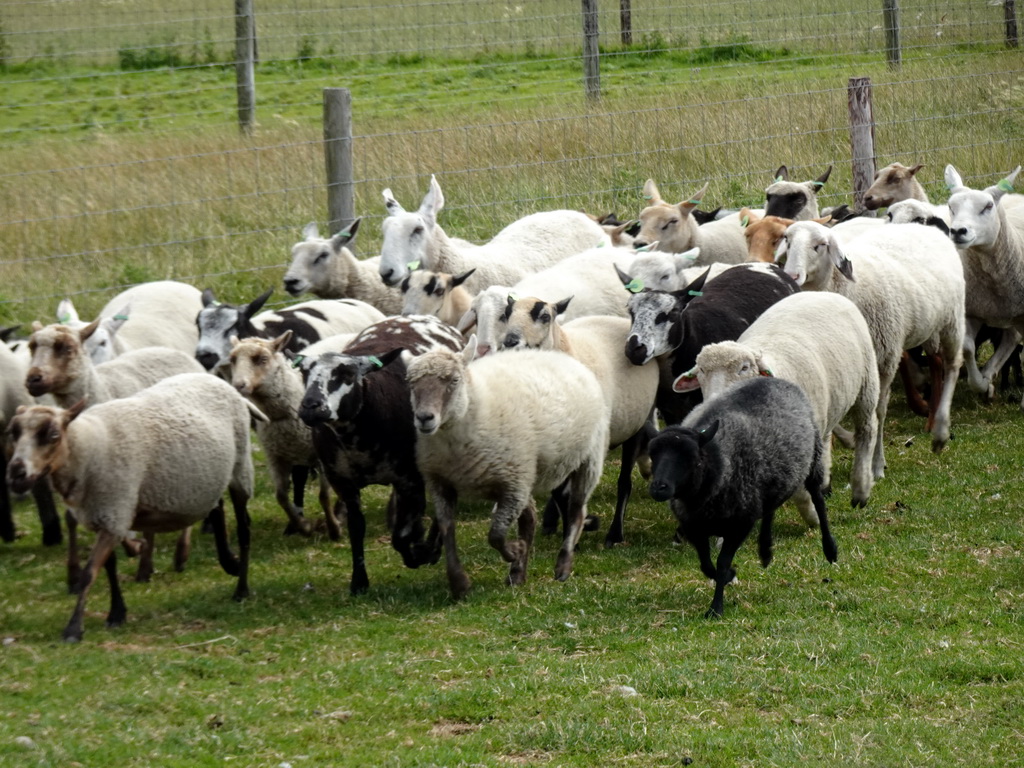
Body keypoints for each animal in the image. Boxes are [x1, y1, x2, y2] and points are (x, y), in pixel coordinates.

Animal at [6, 372, 262, 643]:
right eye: (13, 433)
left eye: (53, 434)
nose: (16, 474)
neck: (85, 448)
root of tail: (217, 380)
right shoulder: (104, 515)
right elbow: (108, 566)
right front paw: (117, 613)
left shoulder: (114, 512)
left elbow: (89, 573)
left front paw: (74, 628)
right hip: (205, 480)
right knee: (217, 506)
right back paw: (229, 562)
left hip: (240, 469)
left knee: (244, 529)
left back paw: (241, 588)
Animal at [228, 333, 339, 544]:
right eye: (232, 360)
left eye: (262, 359)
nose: (238, 386)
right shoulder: (276, 457)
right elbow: (281, 496)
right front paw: (303, 526)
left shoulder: (322, 455)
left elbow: (323, 495)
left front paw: (334, 529)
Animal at [499, 296, 659, 548]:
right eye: (506, 314)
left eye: (545, 316)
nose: (510, 342)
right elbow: (559, 491)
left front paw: (578, 532)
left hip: (635, 424)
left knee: (624, 482)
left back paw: (615, 534)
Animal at [671, 290, 880, 520]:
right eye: (701, 370)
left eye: (744, 368)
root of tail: (822, 292)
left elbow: (801, 490)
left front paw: (813, 516)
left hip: (867, 383)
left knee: (867, 429)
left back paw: (861, 489)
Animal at [942, 162, 1024, 403]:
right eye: (951, 206)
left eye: (988, 206)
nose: (957, 231)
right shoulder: (971, 312)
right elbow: (968, 348)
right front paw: (984, 384)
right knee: (1012, 338)